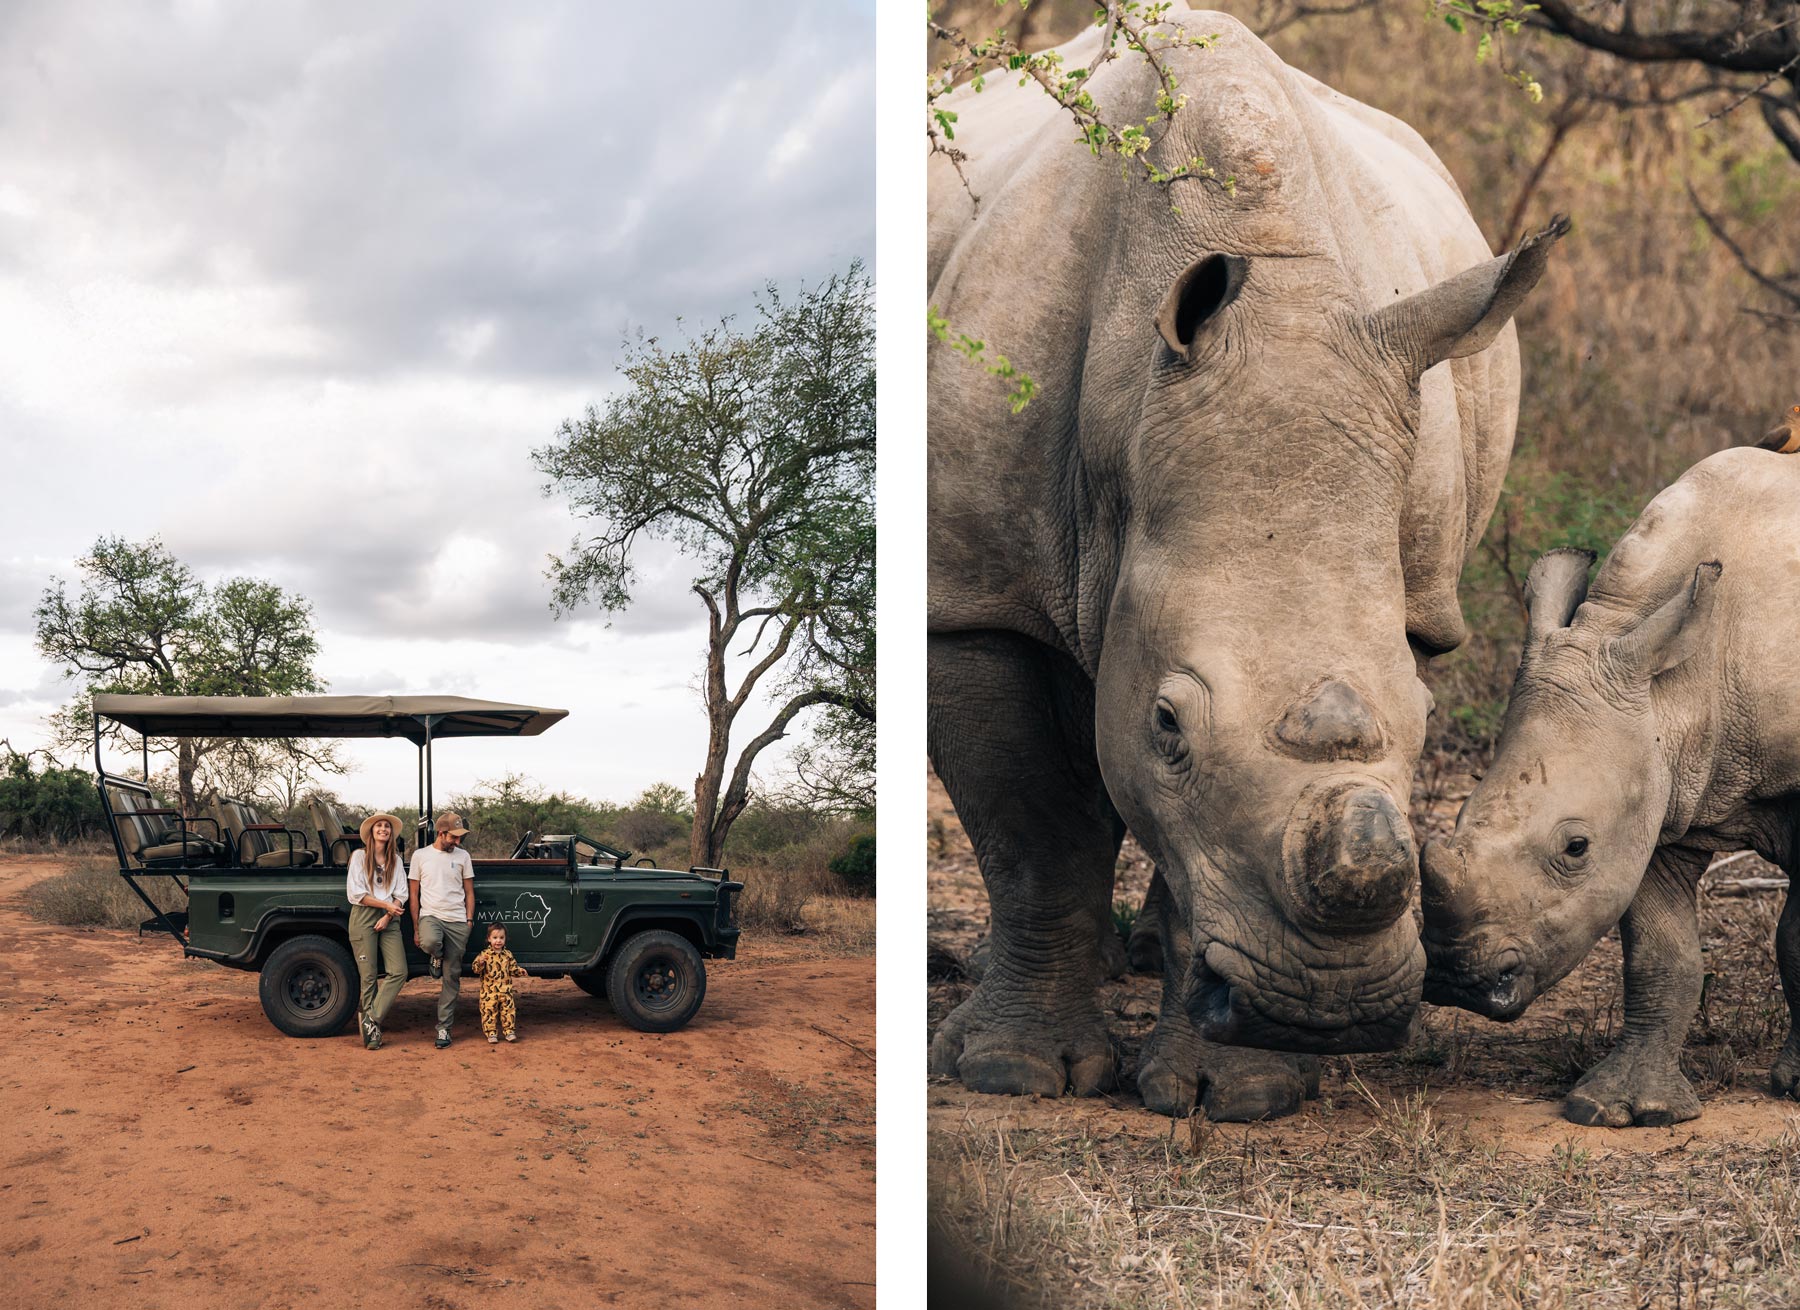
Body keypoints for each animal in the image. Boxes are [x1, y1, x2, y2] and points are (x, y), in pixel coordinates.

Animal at [928, 6, 1568, 1119]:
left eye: (1430, 721)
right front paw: (1009, 1073)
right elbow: (1030, 830)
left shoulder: (1408, 588)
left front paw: (1232, 1091)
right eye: (1168, 724)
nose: (1329, 1008)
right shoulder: (972, 591)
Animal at [1422, 442, 1800, 1127]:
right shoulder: (1661, 792)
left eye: (1575, 848)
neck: (1681, 684)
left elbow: (1796, 940)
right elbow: (1658, 954)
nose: (1451, 981)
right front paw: (1624, 1108)